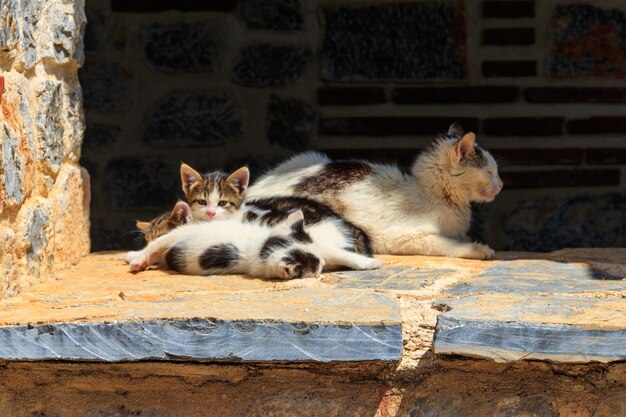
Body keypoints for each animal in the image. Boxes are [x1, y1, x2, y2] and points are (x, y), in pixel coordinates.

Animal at [127, 203, 380, 278]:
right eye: (316, 268)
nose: (324, 266)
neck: (259, 248)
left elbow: (339, 252)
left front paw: (369, 263)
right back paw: (138, 259)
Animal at [244, 122, 502, 258]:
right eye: (490, 172)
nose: (501, 184)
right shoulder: (402, 238)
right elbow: (446, 244)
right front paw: (478, 249)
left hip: (311, 157)